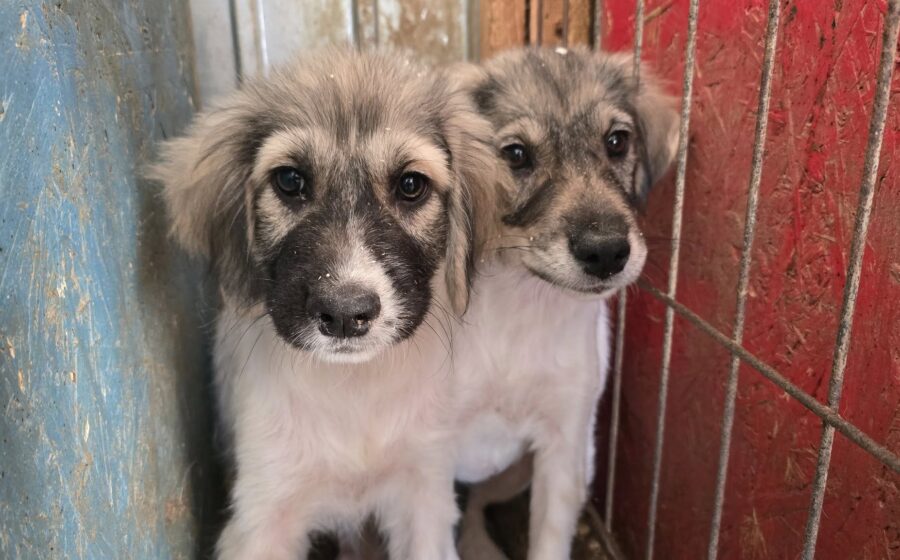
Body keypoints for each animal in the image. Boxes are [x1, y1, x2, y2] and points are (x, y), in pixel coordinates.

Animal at [150, 48, 505, 560]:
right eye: (290, 180)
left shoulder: (424, 491)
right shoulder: (263, 514)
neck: (352, 391)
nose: (344, 312)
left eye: (411, 185)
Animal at [448, 47, 679, 559]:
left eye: (617, 141)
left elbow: (549, 542)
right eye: (515, 154)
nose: (607, 252)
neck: (518, 309)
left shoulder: (564, 447)